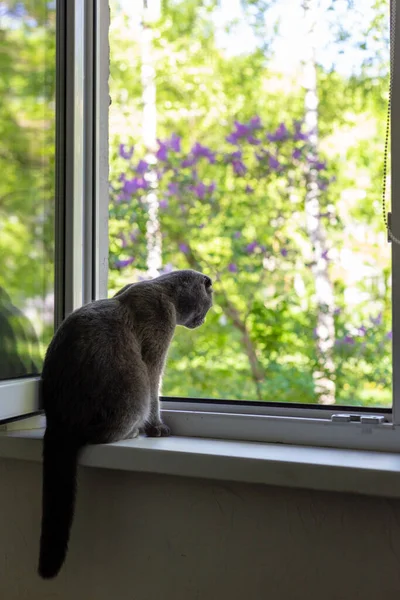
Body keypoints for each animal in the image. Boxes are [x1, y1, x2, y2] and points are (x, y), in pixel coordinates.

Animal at [37, 270, 212, 580]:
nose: (202, 320)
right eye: (207, 305)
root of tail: (58, 422)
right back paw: (133, 432)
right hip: (133, 389)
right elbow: (156, 393)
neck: (165, 292)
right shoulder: (155, 352)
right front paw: (157, 429)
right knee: (106, 433)